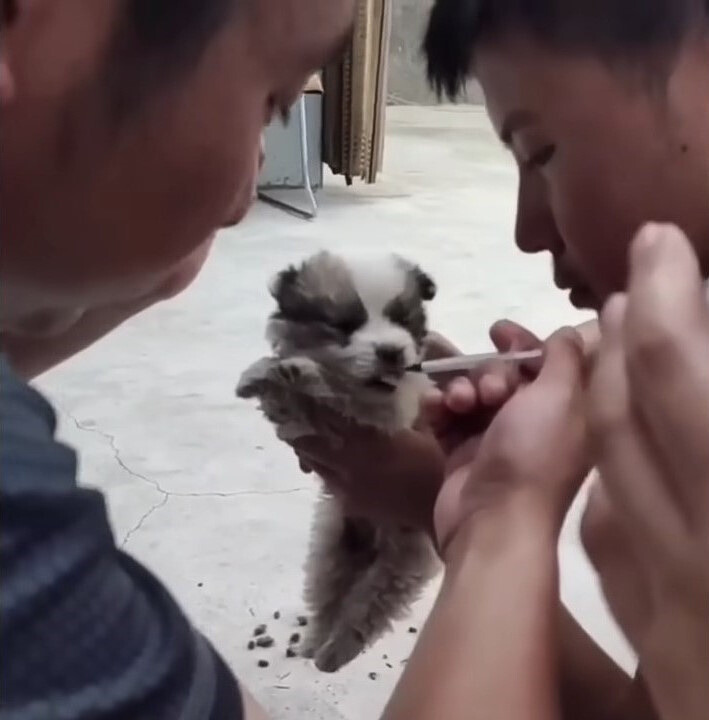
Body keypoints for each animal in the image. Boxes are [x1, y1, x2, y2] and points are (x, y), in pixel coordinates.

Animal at [235, 250, 440, 672]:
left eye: (403, 320)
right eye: (345, 325)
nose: (391, 352)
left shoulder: (390, 413)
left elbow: (337, 390)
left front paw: (305, 373)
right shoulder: (297, 425)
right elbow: (286, 404)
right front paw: (261, 373)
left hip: (405, 557)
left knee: (371, 604)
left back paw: (334, 652)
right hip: (331, 547)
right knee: (328, 598)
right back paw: (315, 642)